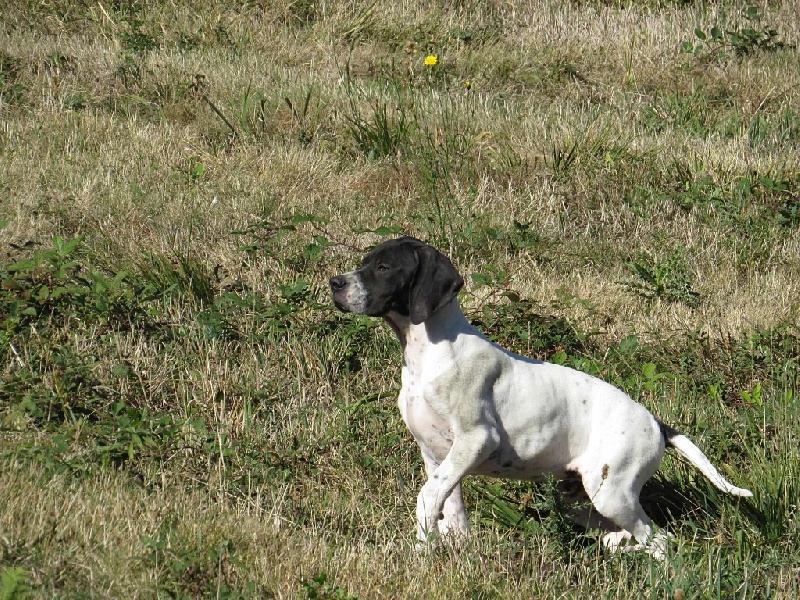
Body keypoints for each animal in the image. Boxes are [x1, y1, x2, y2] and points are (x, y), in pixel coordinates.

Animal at [328, 234, 752, 556]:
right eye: (364, 263)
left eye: (384, 268)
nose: (335, 283)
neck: (428, 353)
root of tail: (655, 423)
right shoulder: (436, 455)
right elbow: (452, 511)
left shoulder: (476, 439)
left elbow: (426, 500)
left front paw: (418, 552)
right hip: (581, 497)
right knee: (626, 537)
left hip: (612, 492)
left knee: (659, 539)